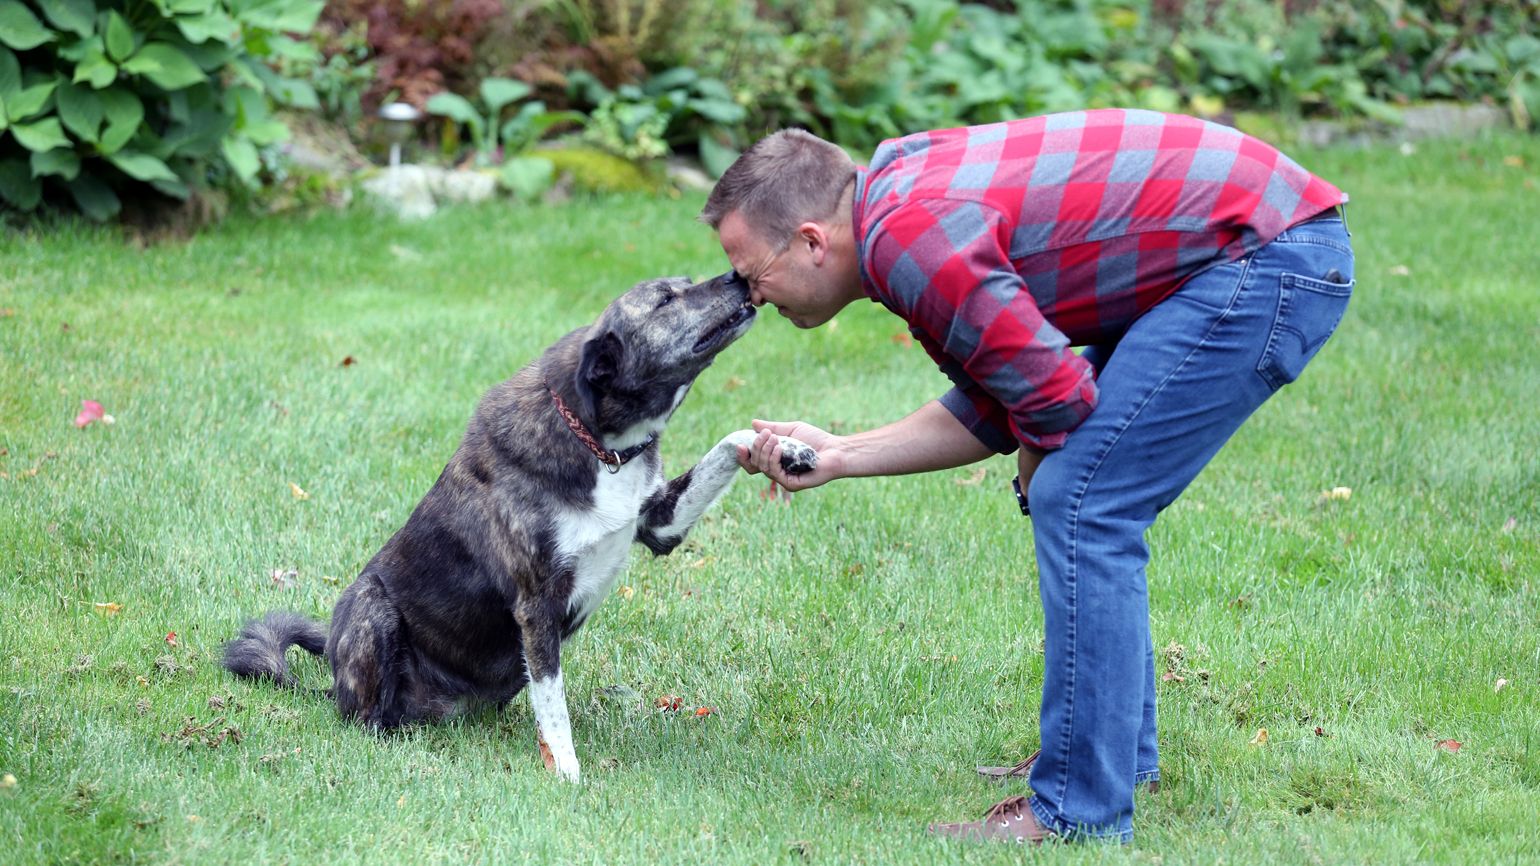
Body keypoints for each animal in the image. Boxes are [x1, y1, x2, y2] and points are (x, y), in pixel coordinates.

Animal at [224, 272, 819, 779]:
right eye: (665, 300)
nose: (740, 276)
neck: (600, 446)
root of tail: (330, 687)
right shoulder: (537, 605)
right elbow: (554, 707)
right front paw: (568, 774)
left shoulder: (659, 524)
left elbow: (730, 442)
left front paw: (785, 448)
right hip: (372, 607)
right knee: (365, 719)